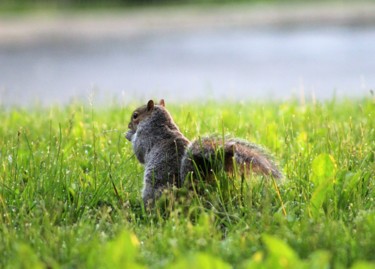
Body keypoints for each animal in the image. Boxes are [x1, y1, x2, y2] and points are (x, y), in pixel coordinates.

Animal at [125, 98, 284, 205]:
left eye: (135, 115)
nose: (128, 125)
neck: (161, 122)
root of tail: (186, 193)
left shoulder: (147, 136)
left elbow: (139, 152)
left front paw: (129, 135)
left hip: (152, 189)